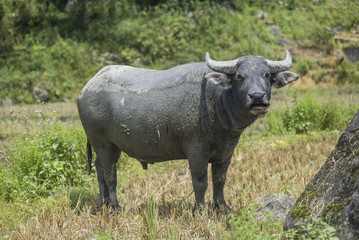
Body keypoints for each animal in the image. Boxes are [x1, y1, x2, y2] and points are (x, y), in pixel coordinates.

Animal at [77, 50, 300, 212]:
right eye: (239, 75)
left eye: (266, 75)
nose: (257, 97)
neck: (216, 99)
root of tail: (86, 88)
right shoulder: (196, 149)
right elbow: (200, 181)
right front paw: (201, 210)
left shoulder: (227, 150)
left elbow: (220, 180)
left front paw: (222, 207)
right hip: (102, 142)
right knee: (110, 173)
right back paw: (115, 207)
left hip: (112, 146)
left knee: (99, 169)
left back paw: (104, 204)